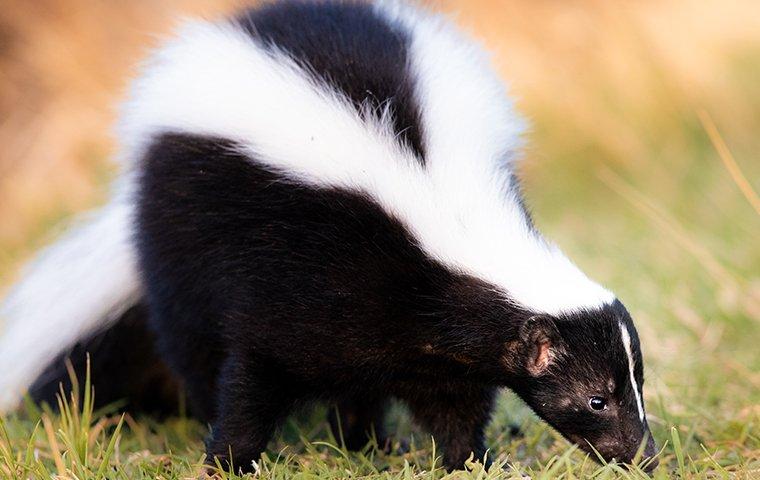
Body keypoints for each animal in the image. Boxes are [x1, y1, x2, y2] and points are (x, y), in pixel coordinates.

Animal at [0, 0, 652, 472]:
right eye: (596, 398)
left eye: (638, 383)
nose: (642, 453)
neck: (448, 217)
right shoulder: (300, 279)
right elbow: (251, 373)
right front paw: (230, 461)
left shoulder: (424, 330)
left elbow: (453, 400)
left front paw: (470, 461)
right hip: (179, 235)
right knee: (193, 344)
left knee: (358, 382)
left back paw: (366, 444)